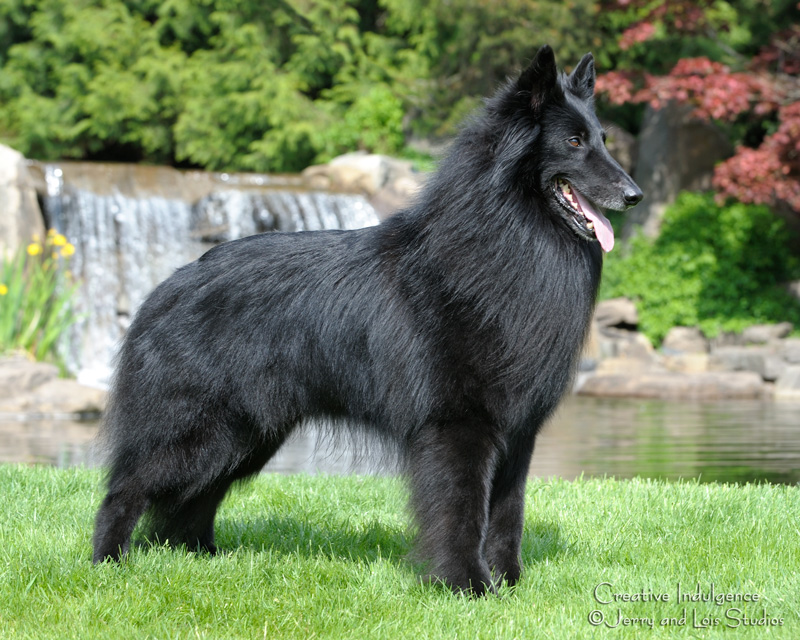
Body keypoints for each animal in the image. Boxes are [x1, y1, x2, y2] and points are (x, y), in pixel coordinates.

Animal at [95, 46, 644, 596]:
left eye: (602, 138)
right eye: (573, 142)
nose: (634, 194)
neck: (508, 239)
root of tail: (170, 284)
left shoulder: (518, 431)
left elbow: (508, 516)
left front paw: (509, 585)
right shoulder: (457, 426)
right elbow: (462, 511)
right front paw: (466, 586)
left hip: (245, 435)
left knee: (190, 501)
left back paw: (202, 559)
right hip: (199, 429)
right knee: (125, 488)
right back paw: (109, 562)